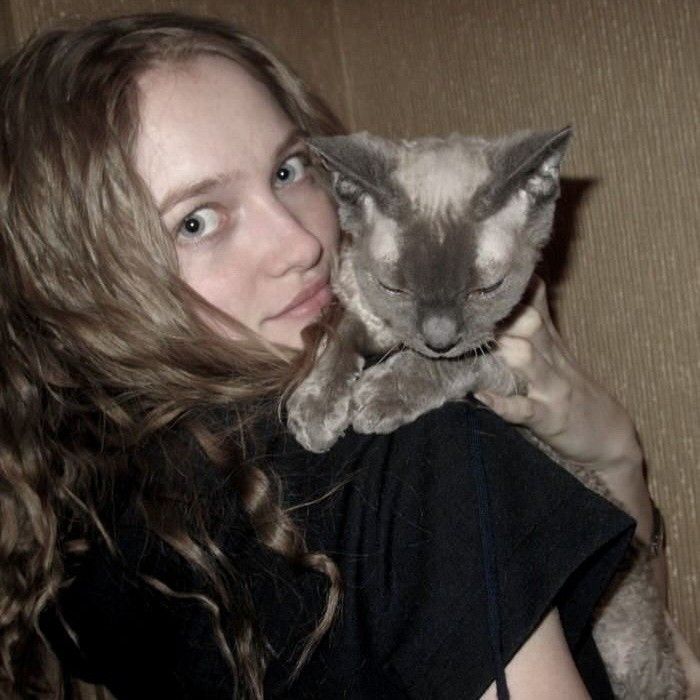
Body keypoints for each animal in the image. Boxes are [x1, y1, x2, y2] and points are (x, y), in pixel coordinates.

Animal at [288, 129, 688, 696]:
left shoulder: (508, 361)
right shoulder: (366, 310)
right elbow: (342, 335)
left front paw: (378, 398)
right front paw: (317, 407)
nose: (438, 337)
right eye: (395, 287)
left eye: (485, 289)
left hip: (631, 652)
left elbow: (448, 368)